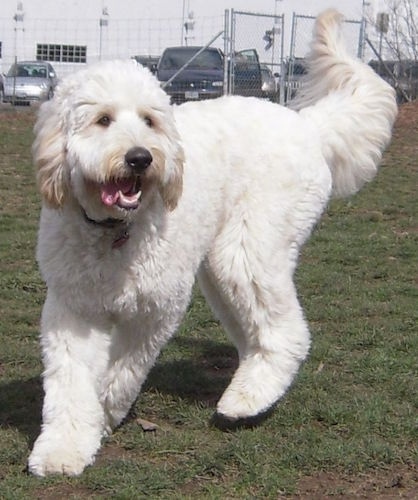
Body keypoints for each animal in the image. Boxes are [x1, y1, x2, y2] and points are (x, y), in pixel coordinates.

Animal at [27, 9, 396, 474]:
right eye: (103, 120)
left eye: (149, 120)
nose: (140, 158)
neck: (114, 231)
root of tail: (307, 124)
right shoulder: (72, 310)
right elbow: (70, 384)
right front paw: (63, 448)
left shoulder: (157, 308)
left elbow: (124, 368)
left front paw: (108, 408)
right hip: (222, 272)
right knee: (256, 331)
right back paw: (253, 386)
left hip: (247, 250)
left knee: (286, 332)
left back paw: (246, 401)